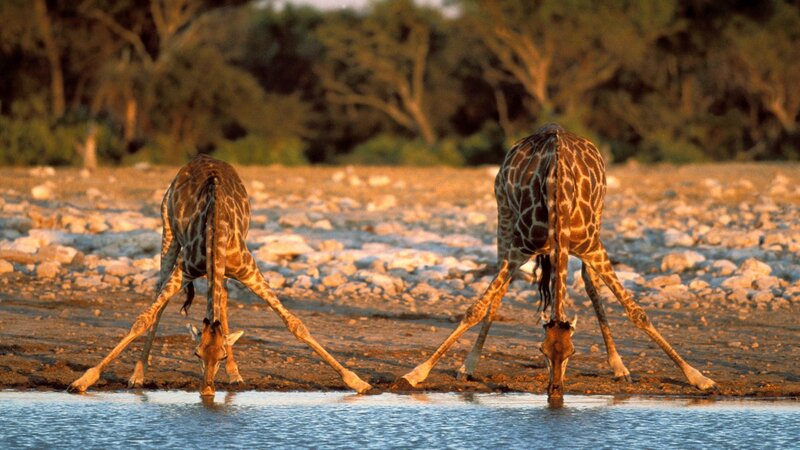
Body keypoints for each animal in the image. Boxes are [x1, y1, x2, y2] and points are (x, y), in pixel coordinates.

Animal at [68, 154, 373, 396]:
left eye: (222, 354)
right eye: (195, 353)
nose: (207, 390)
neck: (216, 230)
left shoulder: (248, 269)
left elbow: (295, 324)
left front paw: (357, 382)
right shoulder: (185, 269)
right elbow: (143, 319)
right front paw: (83, 381)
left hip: (220, 268)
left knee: (222, 301)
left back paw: (236, 374)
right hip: (168, 232)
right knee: (160, 296)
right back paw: (138, 375)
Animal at [396, 124, 717, 399]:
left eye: (572, 352)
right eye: (541, 350)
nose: (555, 391)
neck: (559, 197)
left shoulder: (593, 247)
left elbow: (637, 313)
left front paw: (699, 377)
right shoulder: (518, 249)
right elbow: (474, 308)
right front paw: (417, 373)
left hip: (598, 218)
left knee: (589, 282)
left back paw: (619, 367)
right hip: (504, 213)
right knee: (500, 289)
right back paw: (469, 365)